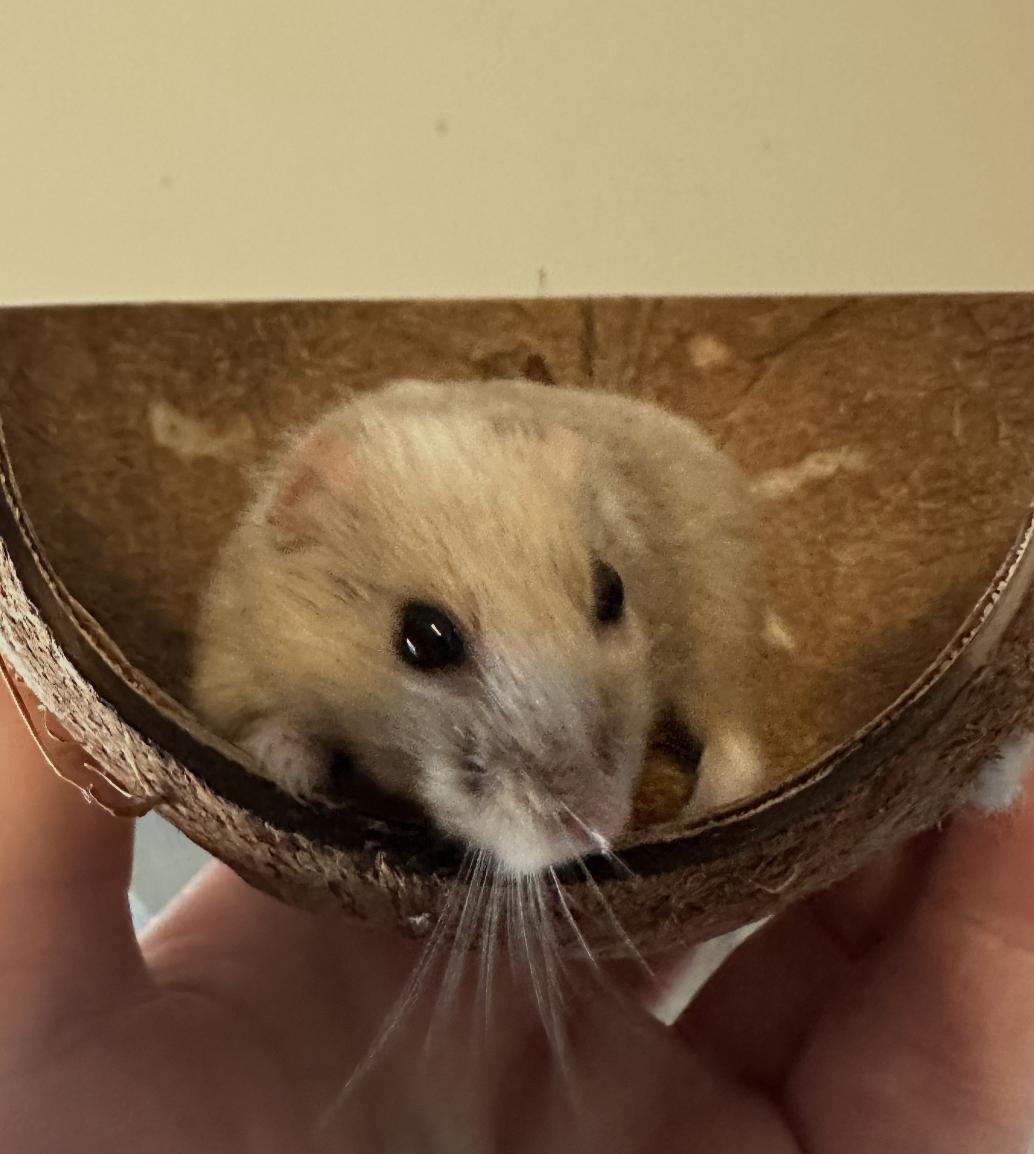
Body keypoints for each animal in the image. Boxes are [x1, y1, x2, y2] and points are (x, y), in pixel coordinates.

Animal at [191, 378, 766, 875]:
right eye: (424, 638)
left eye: (612, 590)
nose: (601, 826)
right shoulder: (232, 672)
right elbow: (271, 728)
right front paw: (295, 773)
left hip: (721, 623)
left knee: (736, 743)